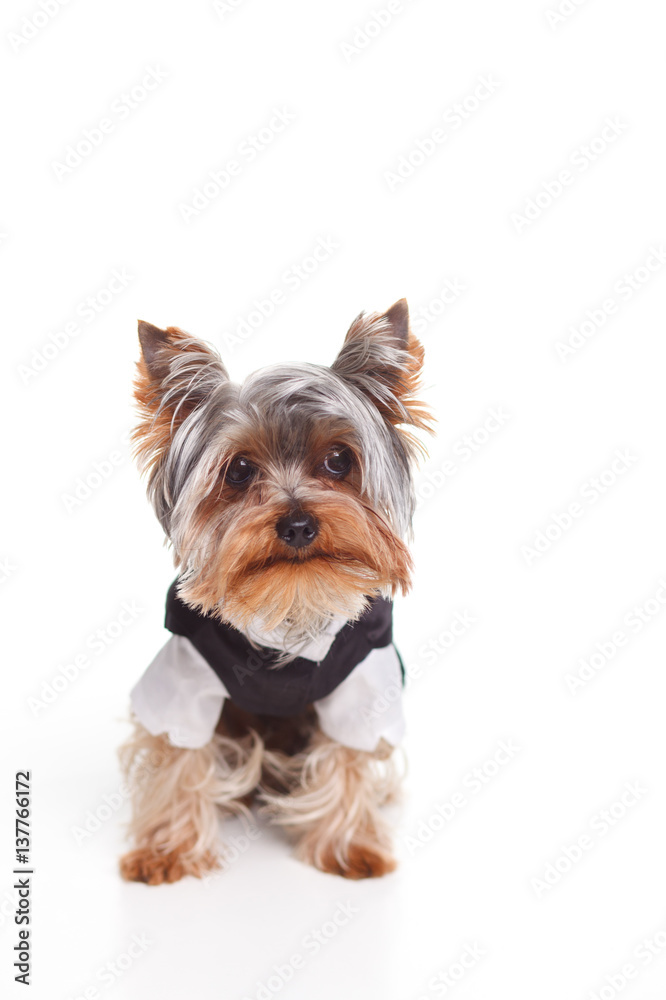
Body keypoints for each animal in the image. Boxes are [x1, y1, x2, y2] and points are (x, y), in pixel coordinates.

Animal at [118, 298, 430, 884]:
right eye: (239, 470)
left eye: (339, 460)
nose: (299, 524)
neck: (291, 604)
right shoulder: (187, 671)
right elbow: (180, 756)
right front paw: (167, 850)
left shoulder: (363, 678)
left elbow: (347, 757)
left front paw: (349, 846)